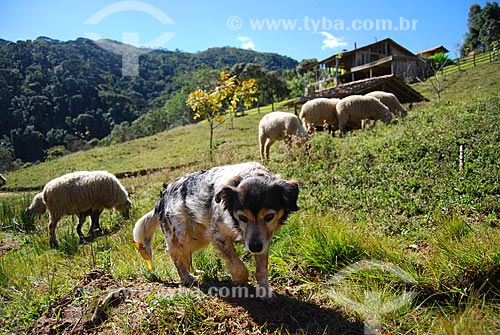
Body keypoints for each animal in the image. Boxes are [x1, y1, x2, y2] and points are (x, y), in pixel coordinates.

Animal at [131, 163, 298, 300]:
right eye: (242, 217)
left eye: (269, 216)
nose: (254, 247)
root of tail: (163, 196)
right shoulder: (218, 235)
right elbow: (238, 267)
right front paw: (240, 282)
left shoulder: (263, 239)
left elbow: (261, 269)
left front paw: (264, 291)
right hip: (181, 235)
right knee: (175, 255)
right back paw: (187, 278)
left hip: (197, 237)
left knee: (185, 256)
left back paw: (196, 272)